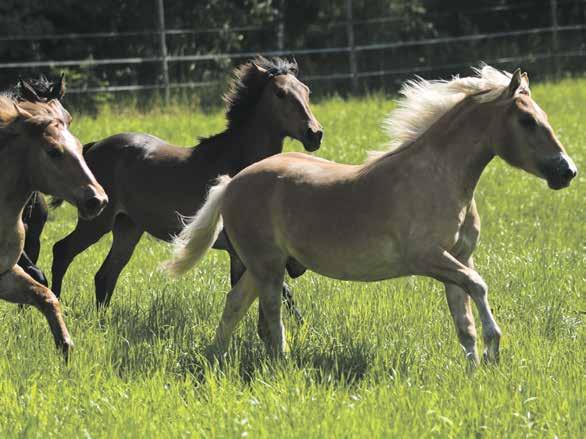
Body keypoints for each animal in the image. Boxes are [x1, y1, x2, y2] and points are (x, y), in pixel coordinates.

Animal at [50, 57, 322, 326]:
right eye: (280, 93)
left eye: (307, 91)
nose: (315, 134)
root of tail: (93, 147)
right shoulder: (243, 251)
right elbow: (281, 291)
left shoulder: (239, 254)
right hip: (97, 222)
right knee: (62, 251)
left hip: (128, 228)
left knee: (105, 274)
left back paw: (102, 322)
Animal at [164, 65, 576, 368]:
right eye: (527, 121)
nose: (567, 171)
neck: (438, 177)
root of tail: (230, 184)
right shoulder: (428, 258)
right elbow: (480, 287)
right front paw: (494, 349)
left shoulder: (458, 259)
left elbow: (465, 323)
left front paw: (475, 371)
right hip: (268, 267)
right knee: (272, 318)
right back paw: (281, 366)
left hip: (262, 265)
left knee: (235, 304)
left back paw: (215, 358)